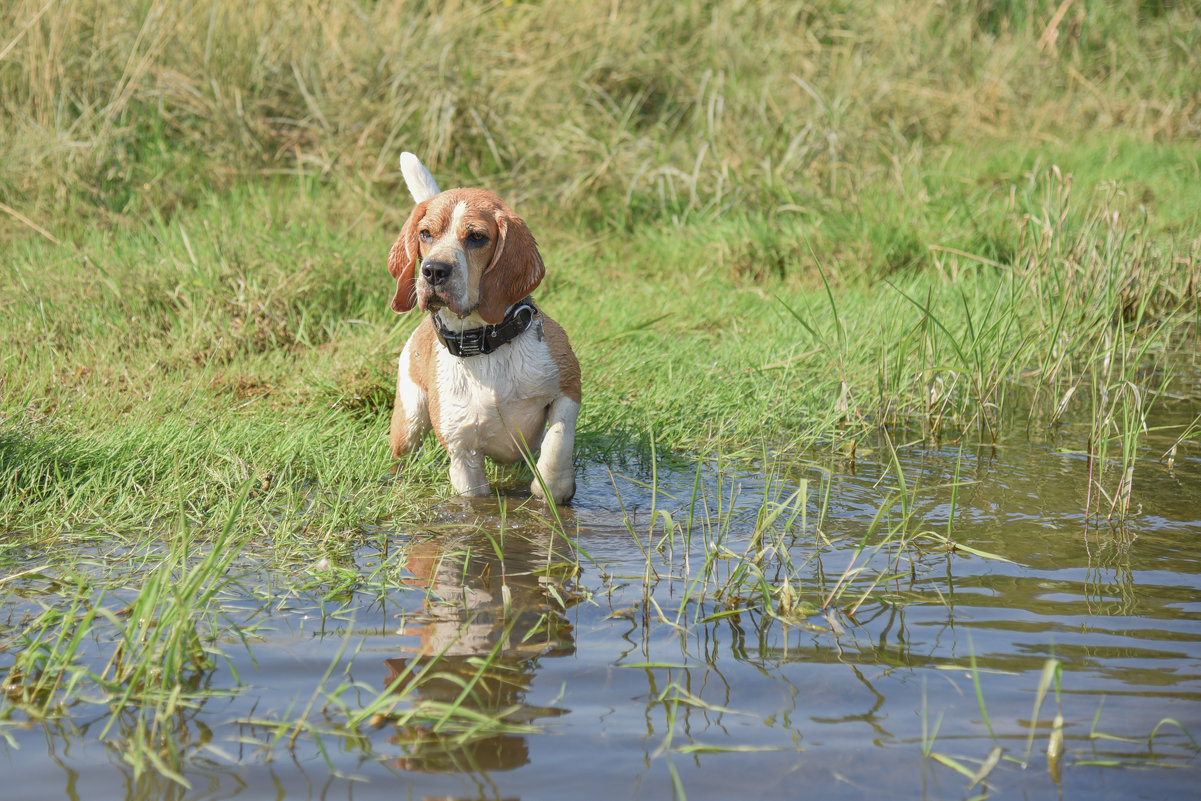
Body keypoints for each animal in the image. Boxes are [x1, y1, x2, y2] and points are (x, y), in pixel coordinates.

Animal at [379, 154, 576, 504]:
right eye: (425, 234)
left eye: (477, 237)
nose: (433, 271)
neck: (486, 347)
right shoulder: (463, 454)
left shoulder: (568, 387)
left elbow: (556, 445)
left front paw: (553, 488)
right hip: (409, 423)